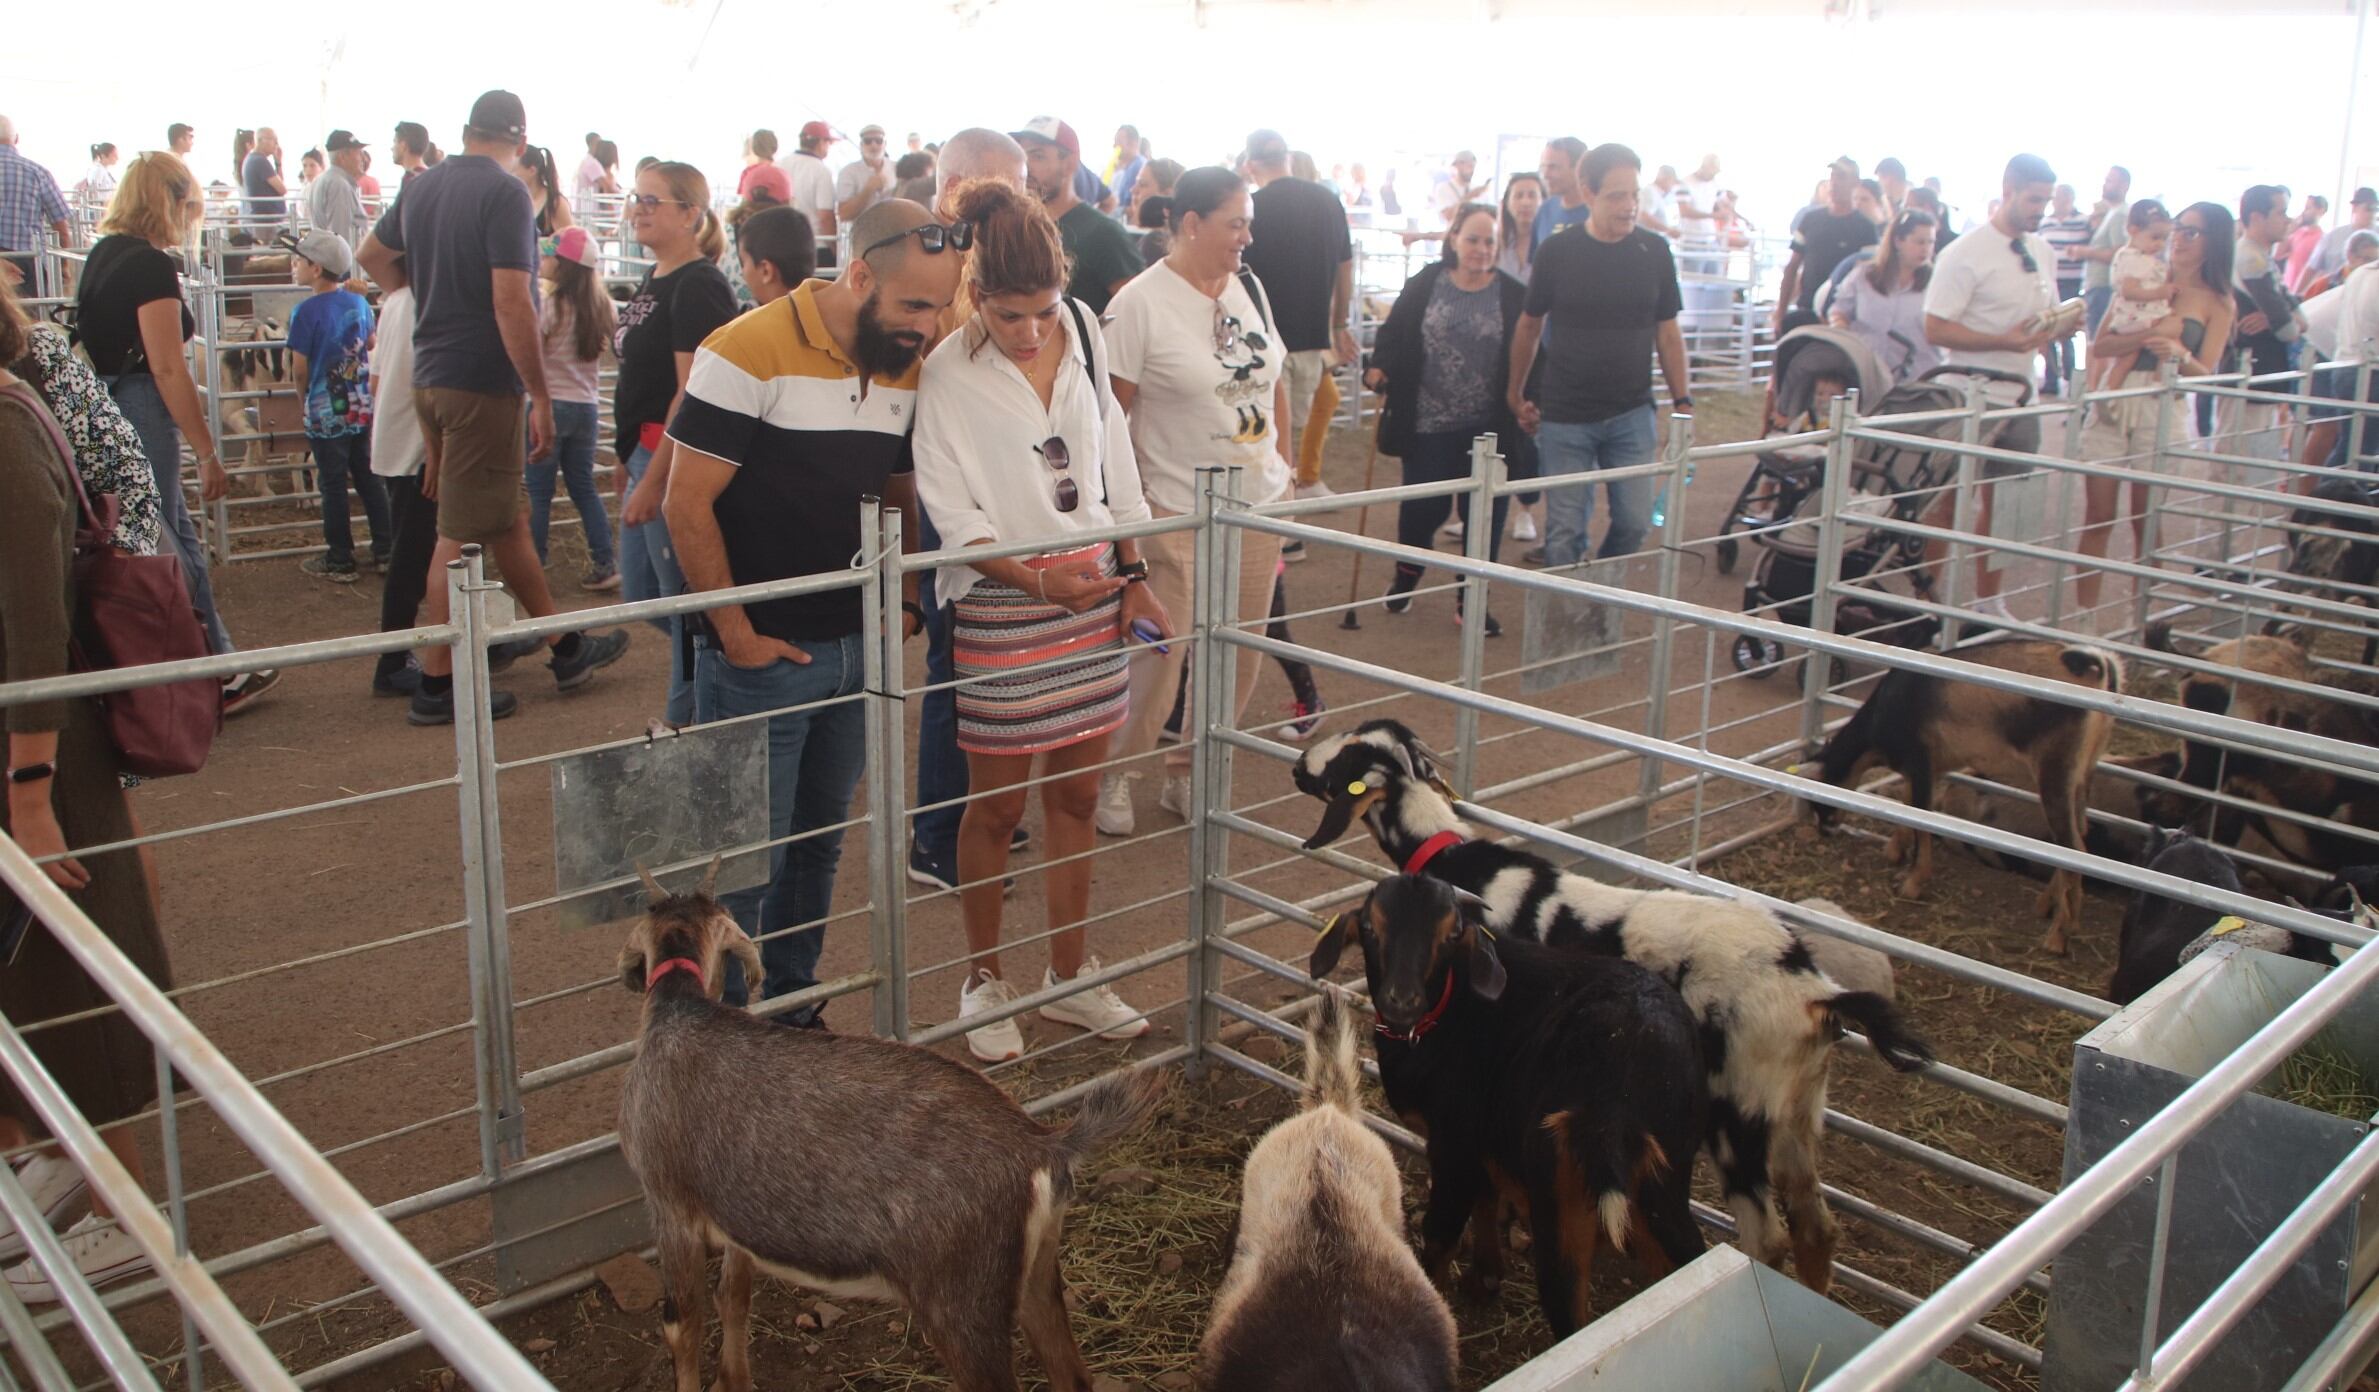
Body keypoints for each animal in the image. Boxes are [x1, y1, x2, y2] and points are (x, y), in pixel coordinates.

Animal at [613, 866, 1170, 1389]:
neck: (679, 1010)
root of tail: (1045, 1146)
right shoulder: (734, 1217)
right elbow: (734, 1294)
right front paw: (735, 1379)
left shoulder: (669, 1203)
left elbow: (681, 1325)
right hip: (1037, 1274)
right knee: (1073, 1375)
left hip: (962, 1304)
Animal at [1284, 723, 1931, 1284]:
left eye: (1347, 759)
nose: (1297, 765)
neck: (1452, 860)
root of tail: (1815, 994)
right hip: (1796, 1110)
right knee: (1816, 1226)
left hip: (1739, 1109)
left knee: (1768, 1237)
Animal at [1303, 875, 1712, 1332]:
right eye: (1370, 929)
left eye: (1451, 934)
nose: (1401, 1000)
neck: (1449, 1010)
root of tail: (1618, 1093)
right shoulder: (1484, 1140)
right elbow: (1486, 1197)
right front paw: (1485, 1277)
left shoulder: (1454, 1144)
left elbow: (1441, 1231)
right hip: (1664, 1181)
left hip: (1560, 1202)